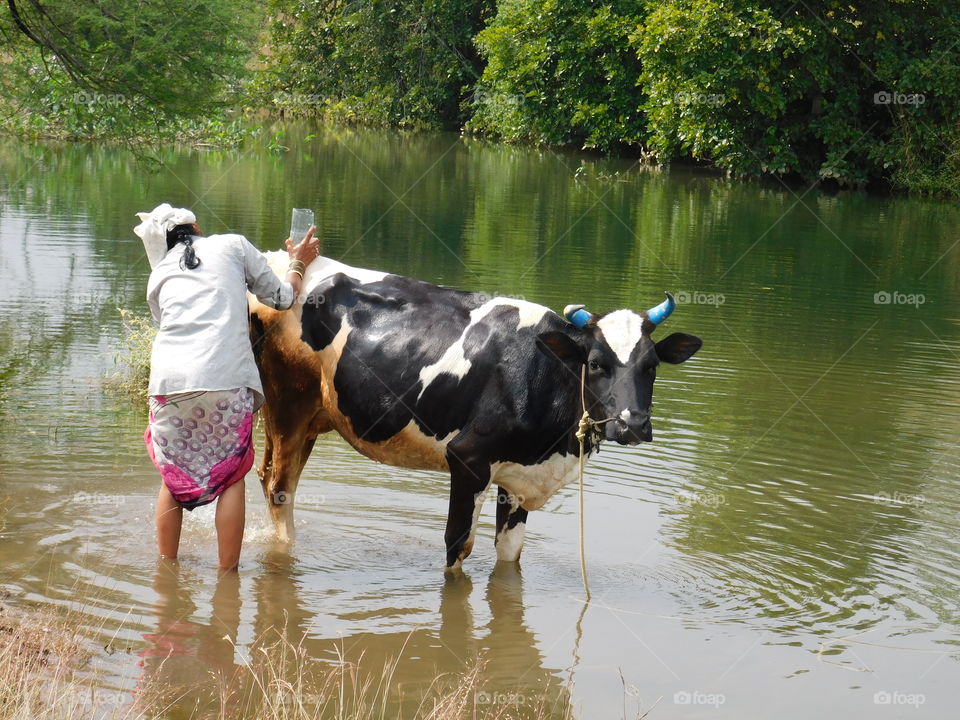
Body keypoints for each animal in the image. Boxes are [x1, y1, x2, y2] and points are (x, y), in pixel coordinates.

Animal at [248, 256, 700, 572]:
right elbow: (458, 544)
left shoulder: (518, 478)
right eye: (597, 363)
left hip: (309, 418)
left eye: (651, 365)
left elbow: (510, 552)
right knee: (280, 488)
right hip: (290, 405)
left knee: (271, 477)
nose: (633, 424)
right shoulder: (468, 458)